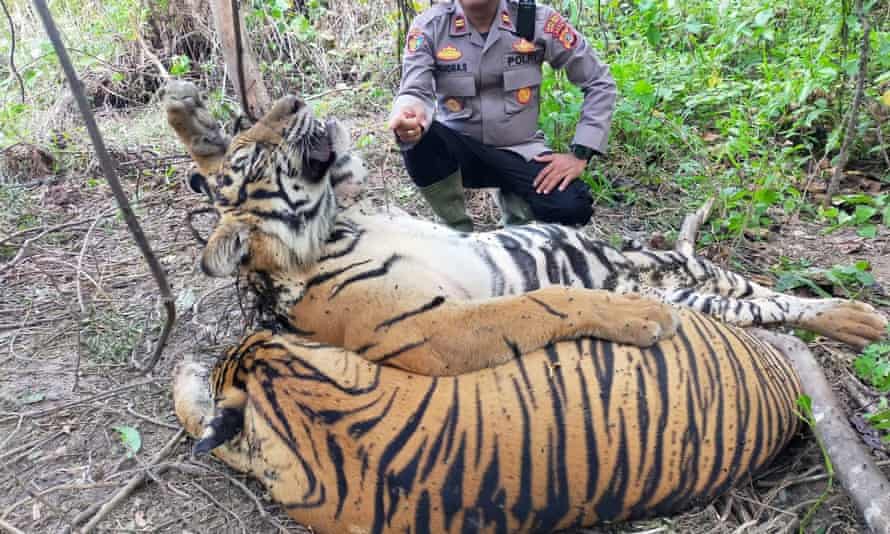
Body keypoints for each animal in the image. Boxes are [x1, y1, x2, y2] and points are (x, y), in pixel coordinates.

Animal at [161, 82, 888, 376]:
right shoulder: (433, 328)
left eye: (257, 131)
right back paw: (859, 323)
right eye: (255, 150)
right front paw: (638, 321)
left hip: (696, 269)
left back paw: (857, 315)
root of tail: (647, 265)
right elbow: (547, 300)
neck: (339, 227)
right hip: (692, 290)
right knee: (758, 306)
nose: (289, 101)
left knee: (770, 293)